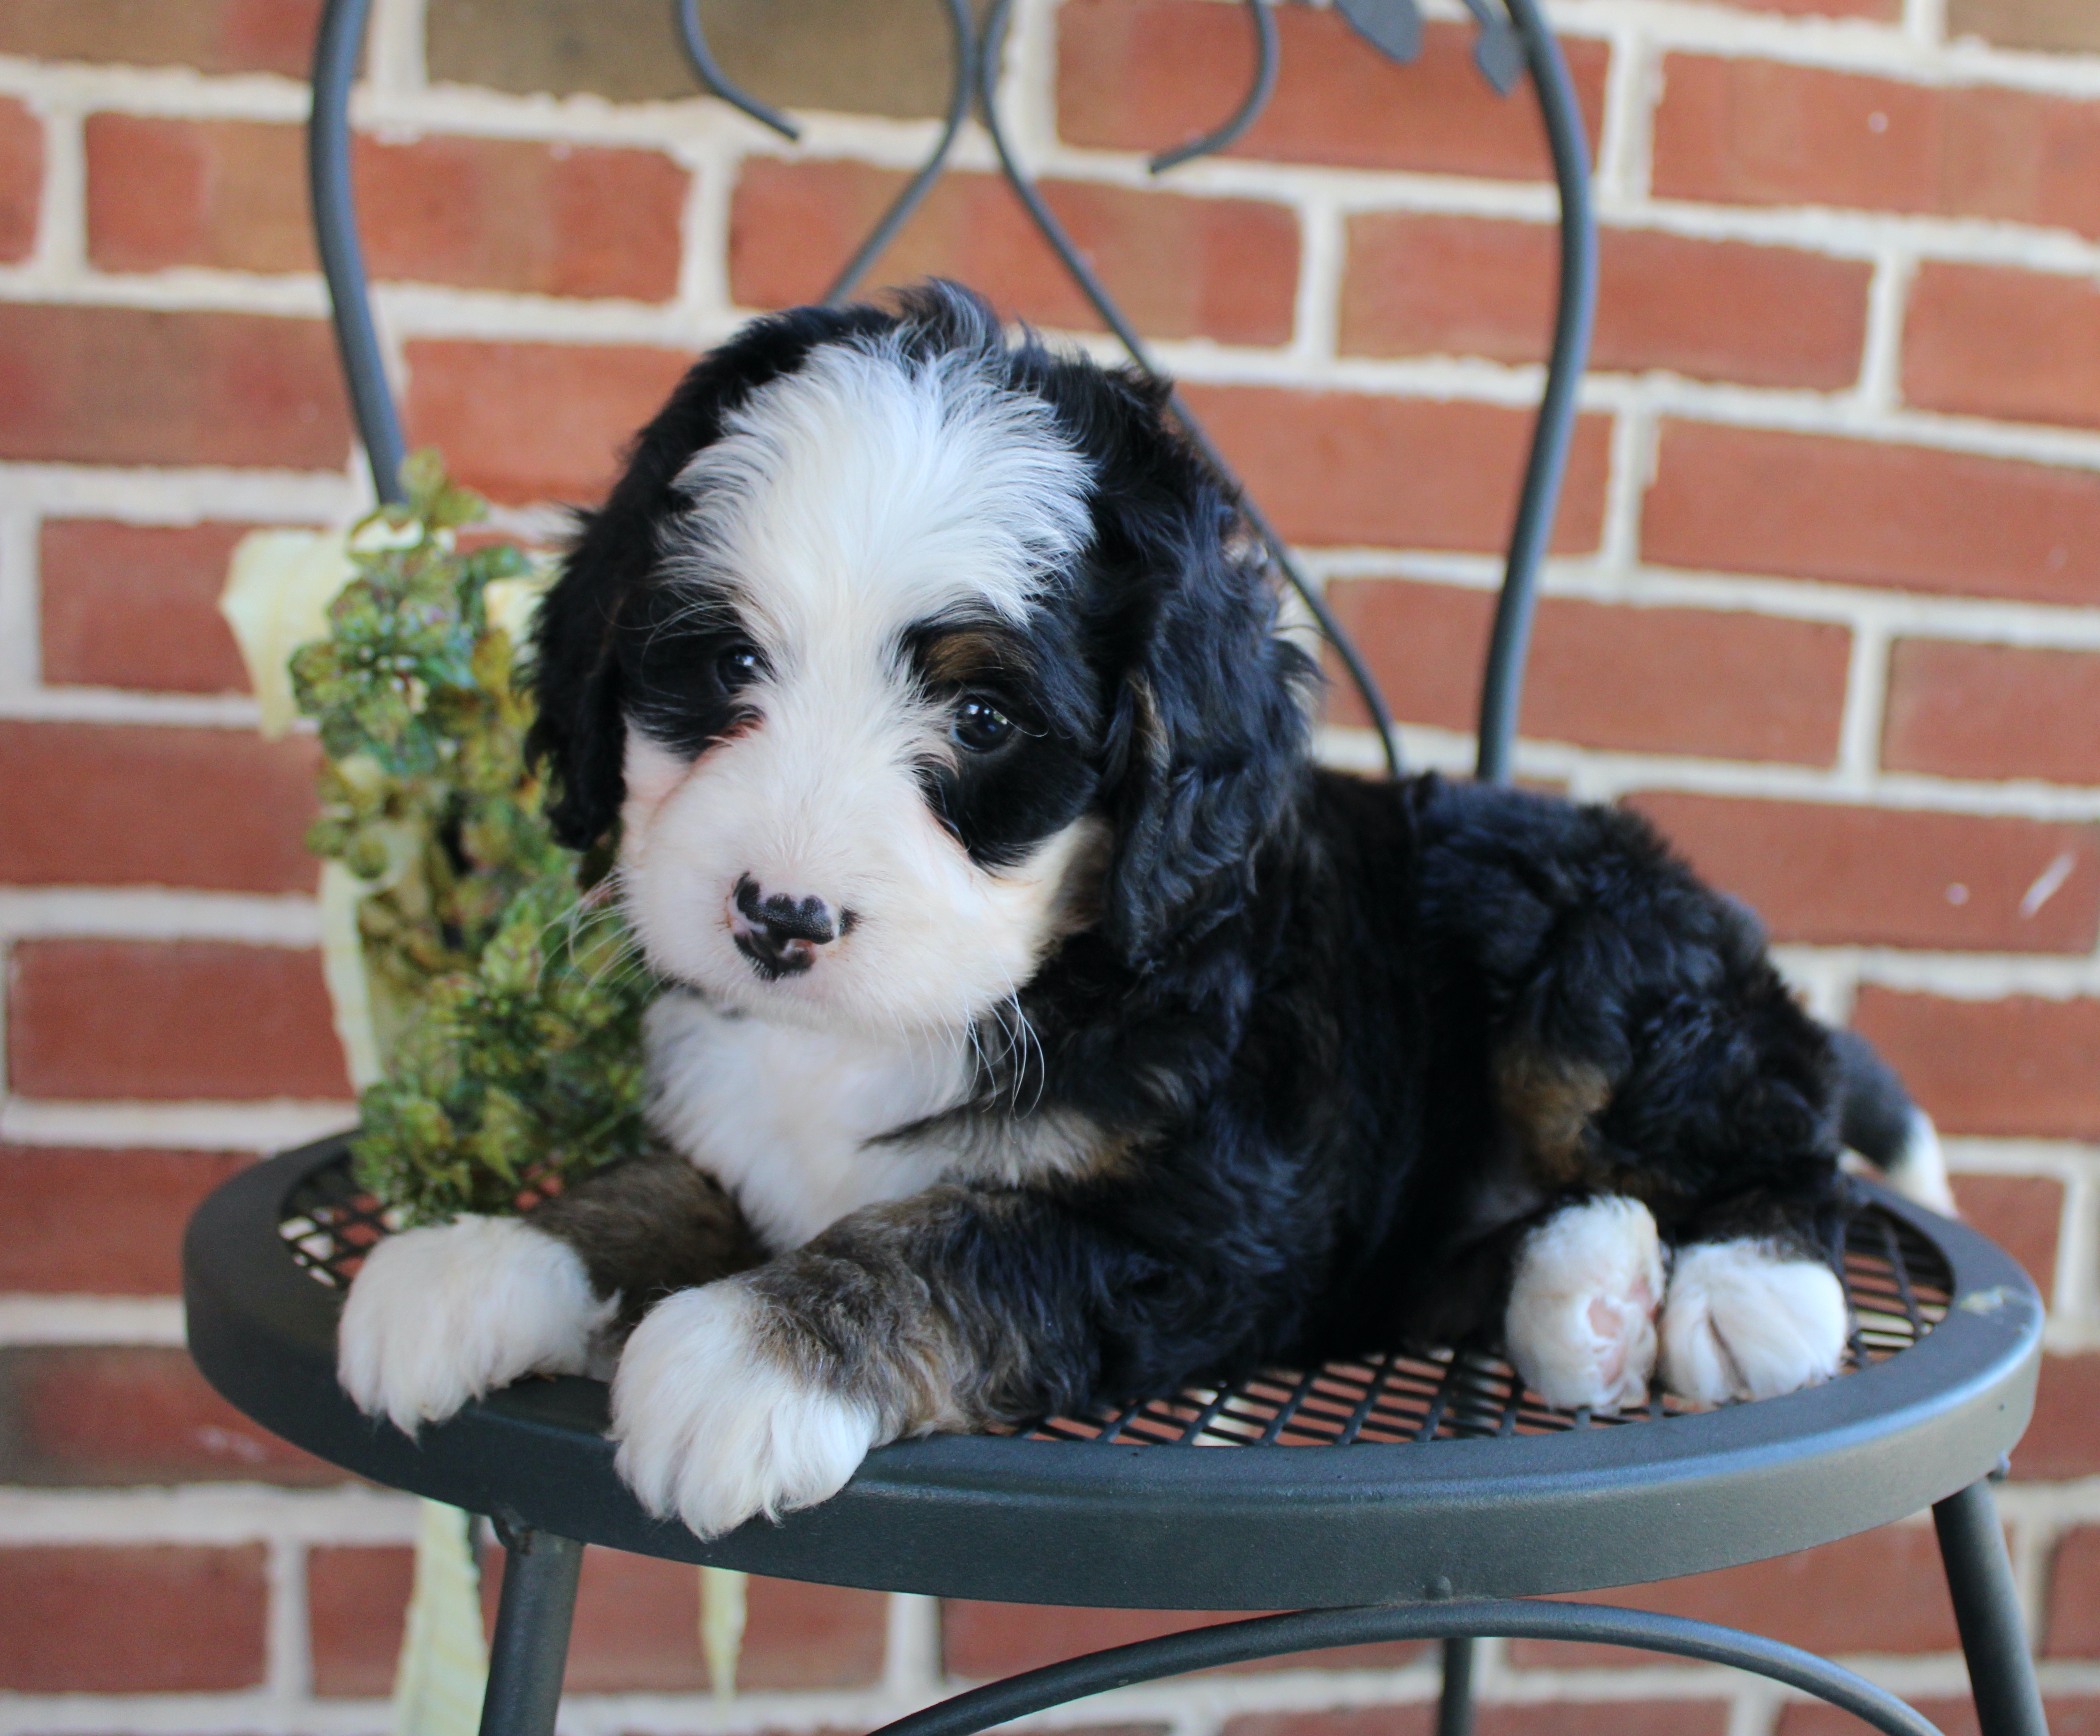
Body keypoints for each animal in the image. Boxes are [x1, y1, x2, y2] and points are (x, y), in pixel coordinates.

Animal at [332, 287, 1948, 1545]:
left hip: (1582, 962)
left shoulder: (1199, 1227)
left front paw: (753, 1351)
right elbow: (653, 1188)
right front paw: (487, 1259)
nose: (777, 917)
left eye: (983, 717)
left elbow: (962, 1240)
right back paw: (1587, 1297)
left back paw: (1742, 1290)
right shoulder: (736, 1127)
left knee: (1779, 1133)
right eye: (726, 661)